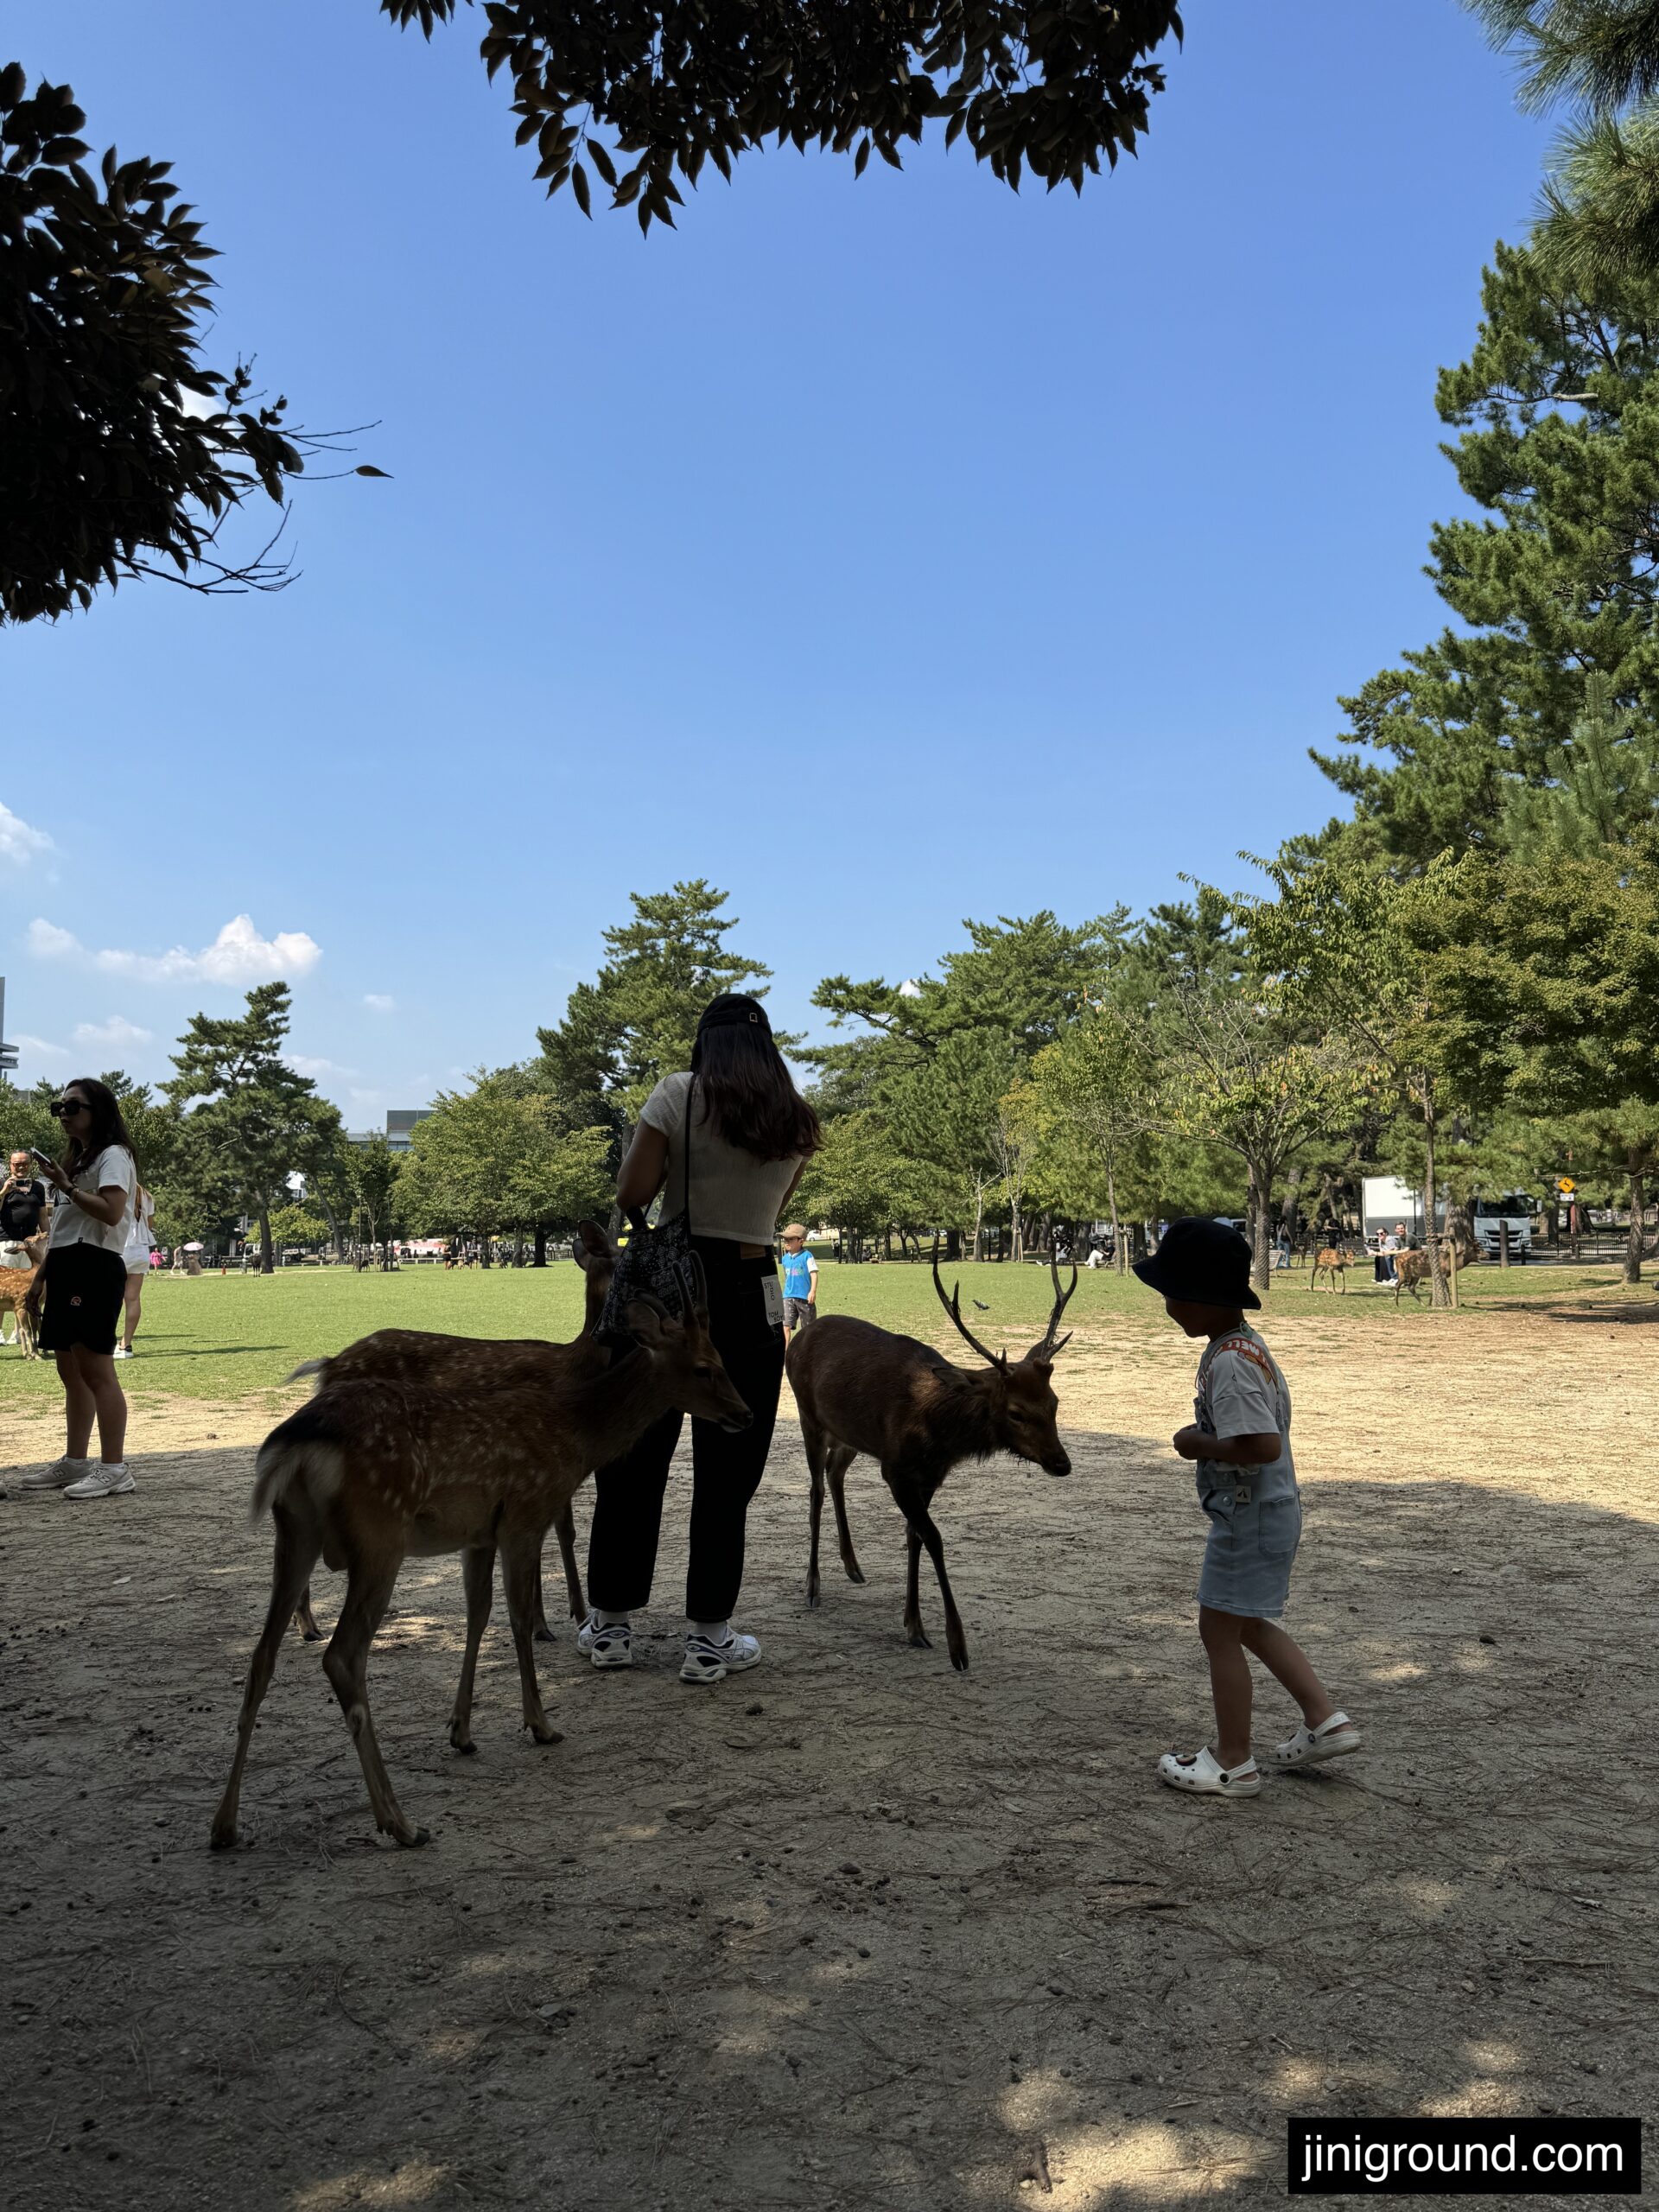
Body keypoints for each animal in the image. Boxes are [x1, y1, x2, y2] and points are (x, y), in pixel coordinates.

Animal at [283, 1221, 619, 1642]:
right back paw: (308, 1625)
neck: (574, 1371)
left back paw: (308, 1623)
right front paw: (546, 1624)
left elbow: (565, 1532)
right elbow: (550, 1535)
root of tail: (327, 1367)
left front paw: (571, 1616)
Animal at [787, 1246, 1077, 1672]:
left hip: (851, 1434)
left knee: (834, 1471)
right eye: (1016, 1412)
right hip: (809, 1414)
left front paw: (914, 1625)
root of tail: (798, 1338)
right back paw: (812, 1585)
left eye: (1055, 1403)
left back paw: (853, 1566)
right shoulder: (896, 1470)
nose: (1061, 1463)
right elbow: (934, 1538)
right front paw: (957, 1646)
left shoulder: (931, 1474)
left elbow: (914, 1535)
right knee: (816, 1489)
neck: (938, 1432)